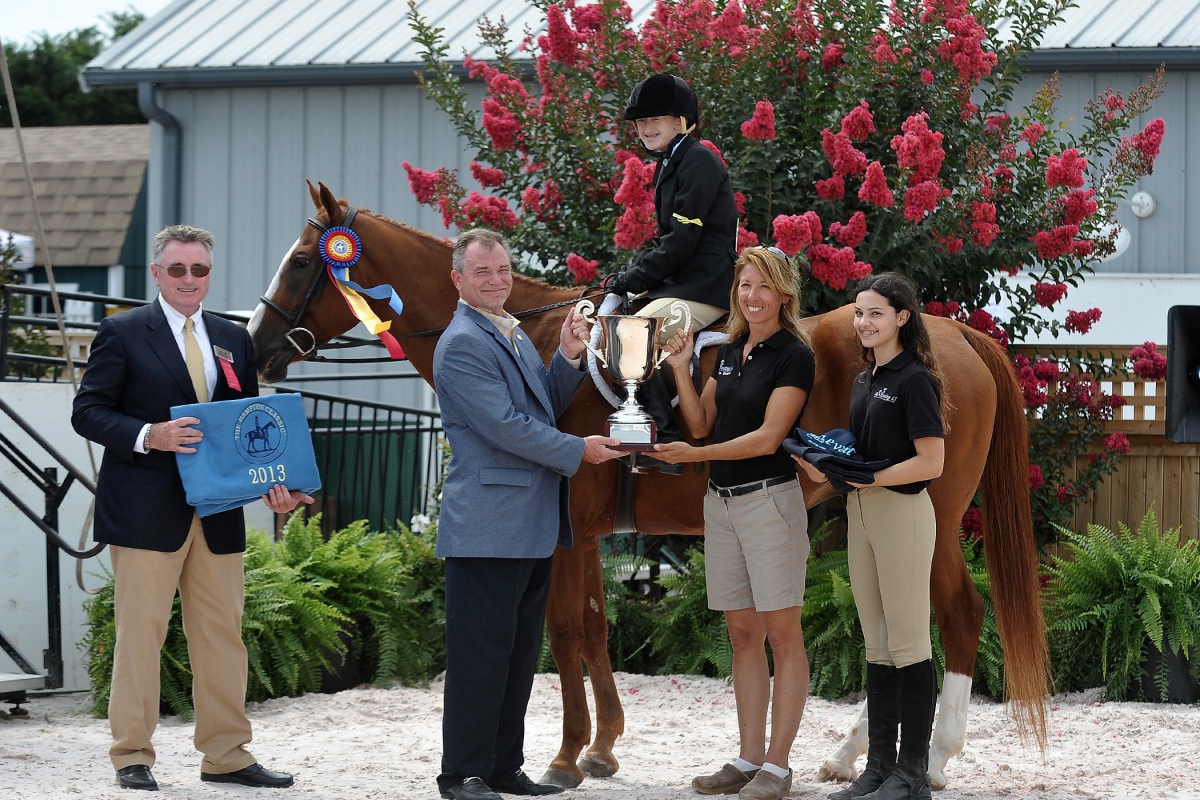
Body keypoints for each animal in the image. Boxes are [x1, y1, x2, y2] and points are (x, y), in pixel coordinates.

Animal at [248, 184, 1046, 791]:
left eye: (301, 261)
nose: (255, 348)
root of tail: (955, 337)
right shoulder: (587, 536)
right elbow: (596, 625)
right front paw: (603, 748)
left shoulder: (566, 533)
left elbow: (565, 631)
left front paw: (567, 756)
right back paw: (849, 756)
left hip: (928, 514)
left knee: (957, 614)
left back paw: (933, 761)